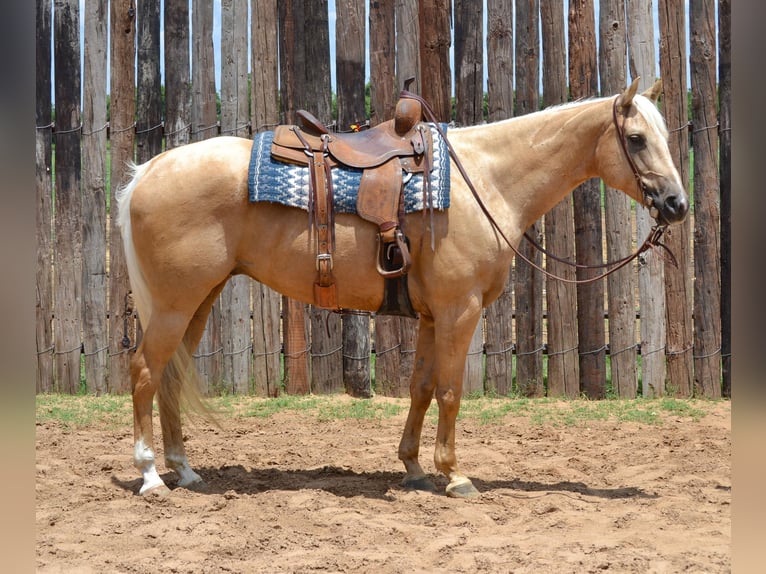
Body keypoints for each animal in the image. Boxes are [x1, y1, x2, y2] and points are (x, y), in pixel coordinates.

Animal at [117, 80, 688, 500]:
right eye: (636, 139)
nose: (677, 204)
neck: (487, 181)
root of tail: (147, 171)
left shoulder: (434, 316)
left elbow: (420, 388)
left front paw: (413, 467)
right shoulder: (460, 310)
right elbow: (451, 391)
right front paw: (455, 475)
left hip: (199, 301)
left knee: (170, 376)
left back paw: (185, 470)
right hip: (173, 304)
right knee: (145, 371)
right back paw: (150, 476)